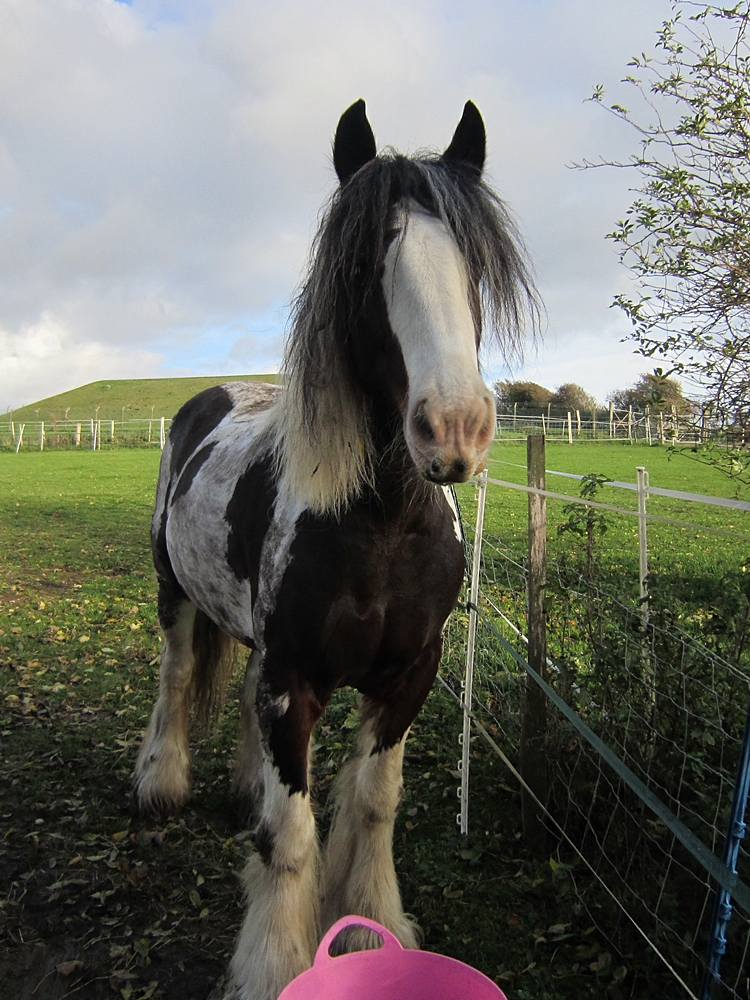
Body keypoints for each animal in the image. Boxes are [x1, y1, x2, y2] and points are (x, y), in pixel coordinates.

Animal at [132, 99, 536, 1000]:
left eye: (475, 265)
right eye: (362, 265)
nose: (454, 428)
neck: (381, 529)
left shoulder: (408, 677)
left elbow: (374, 804)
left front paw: (369, 928)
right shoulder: (297, 684)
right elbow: (291, 835)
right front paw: (275, 964)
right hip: (176, 596)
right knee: (176, 677)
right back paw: (159, 782)